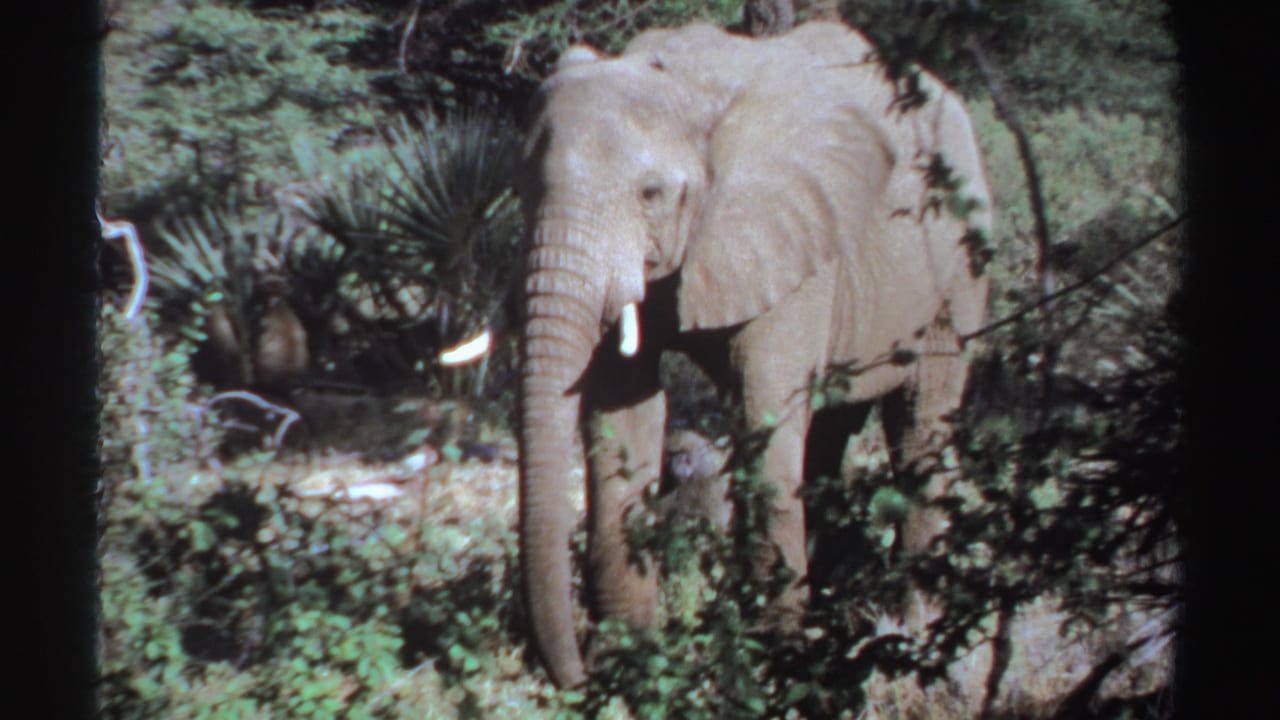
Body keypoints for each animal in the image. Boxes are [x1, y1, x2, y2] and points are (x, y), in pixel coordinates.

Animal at [511, 20, 992, 687]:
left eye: (651, 193)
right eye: (522, 188)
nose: (574, 677)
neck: (684, 87)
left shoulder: (796, 234)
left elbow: (763, 413)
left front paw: (771, 673)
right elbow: (622, 414)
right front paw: (632, 668)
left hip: (959, 269)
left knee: (921, 420)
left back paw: (914, 624)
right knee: (831, 429)